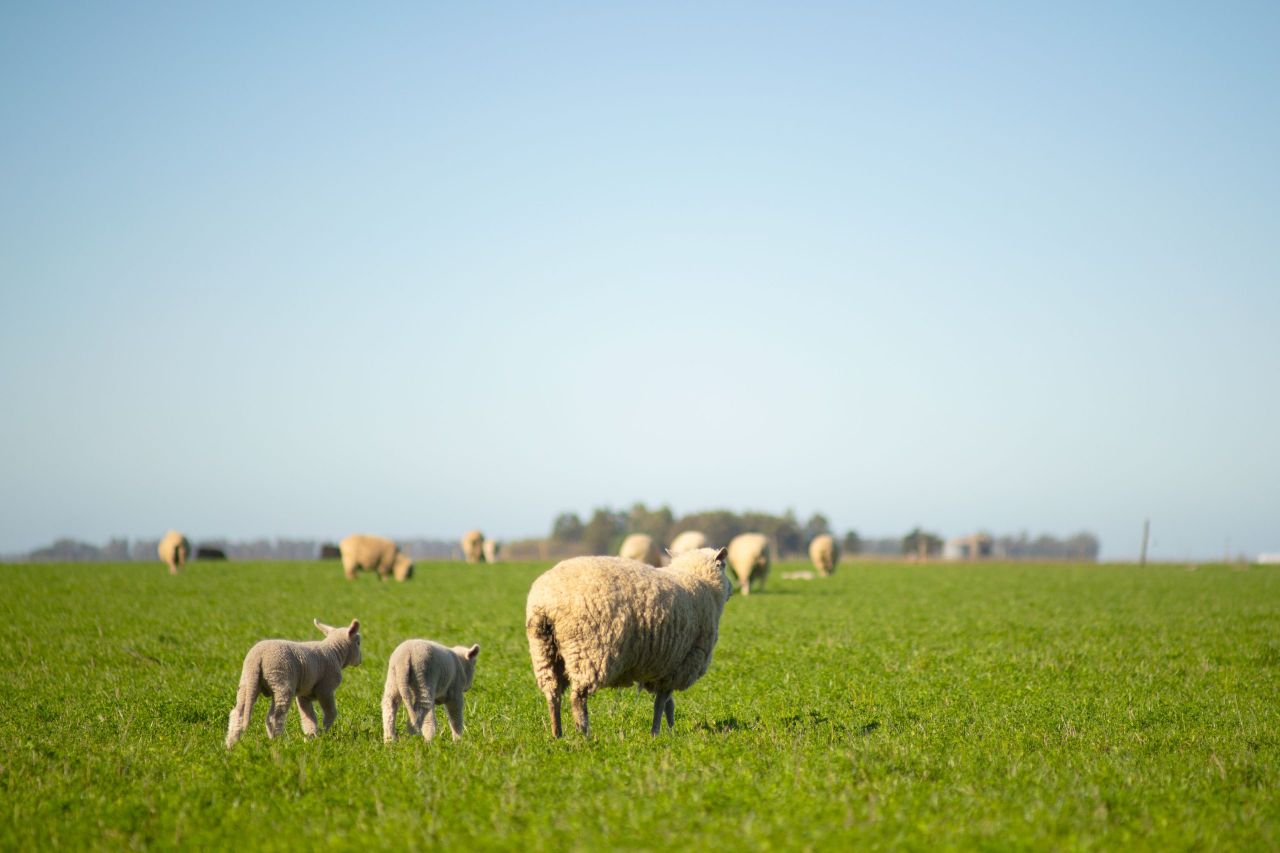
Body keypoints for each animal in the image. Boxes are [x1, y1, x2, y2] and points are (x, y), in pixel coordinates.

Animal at [224, 618, 363, 748]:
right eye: (358, 642)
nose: (360, 661)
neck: (334, 652)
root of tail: (257, 656)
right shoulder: (325, 689)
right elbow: (331, 713)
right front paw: (324, 733)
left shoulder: (304, 694)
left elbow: (308, 717)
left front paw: (311, 737)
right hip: (281, 681)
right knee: (274, 717)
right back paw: (278, 741)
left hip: (247, 681)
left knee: (237, 713)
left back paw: (231, 744)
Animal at [525, 546, 732, 738]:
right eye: (723, 565)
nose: (732, 588)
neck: (701, 581)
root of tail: (546, 603)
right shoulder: (678, 666)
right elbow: (661, 703)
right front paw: (658, 732)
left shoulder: (662, 668)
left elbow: (668, 703)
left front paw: (670, 729)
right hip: (587, 652)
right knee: (578, 698)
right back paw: (584, 734)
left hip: (543, 650)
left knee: (553, 694)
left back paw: (557, 734)